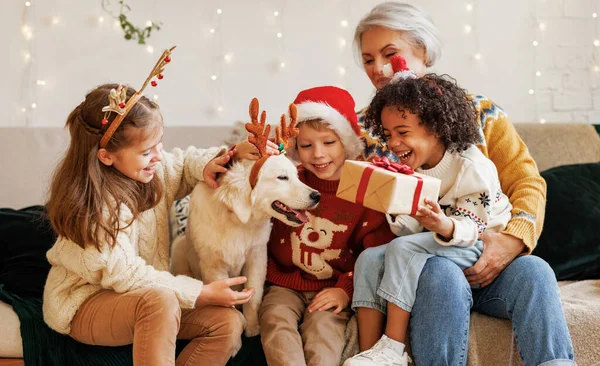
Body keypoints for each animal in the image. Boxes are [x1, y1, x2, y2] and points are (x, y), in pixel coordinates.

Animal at [171, 100, 318, 340]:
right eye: (282, 177)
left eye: (296, 176)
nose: (317, 196)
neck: (239, 221)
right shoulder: (213, 267)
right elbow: (226, 302)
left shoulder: (257, 257)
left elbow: (253, 298)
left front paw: (252, 329)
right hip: (179, 246)